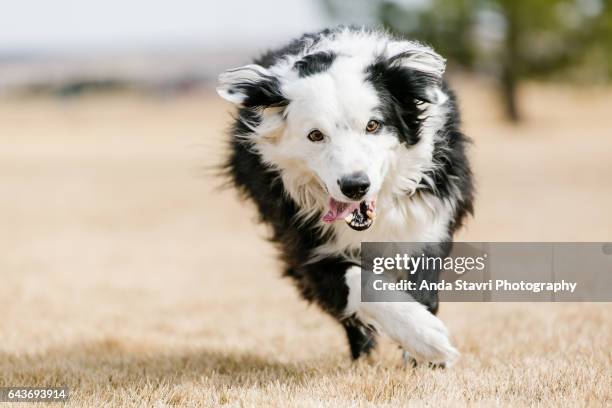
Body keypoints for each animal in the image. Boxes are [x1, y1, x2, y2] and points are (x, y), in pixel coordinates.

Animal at [218, 27, 476, 366]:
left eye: (373, 125)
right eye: (315, 135)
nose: (355, 186)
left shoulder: (426, 220)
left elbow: (421, 279)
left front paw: (423, 352)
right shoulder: (305, 243)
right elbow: (355, 280)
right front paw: (426, 336)